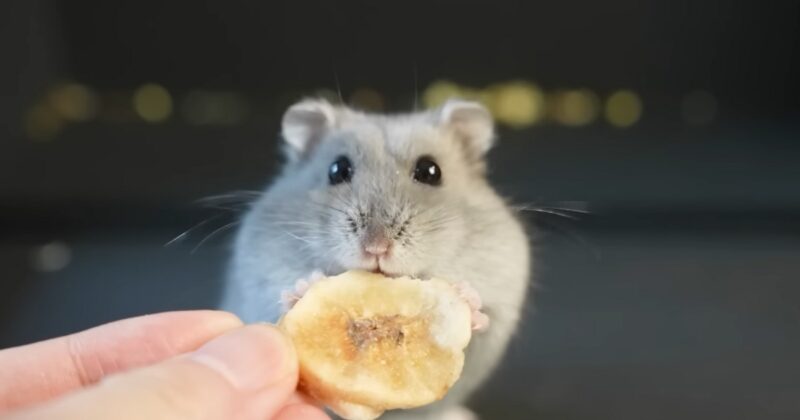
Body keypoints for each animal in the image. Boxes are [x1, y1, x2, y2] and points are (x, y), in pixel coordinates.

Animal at [219, 97, 532, 418]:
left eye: (431, 171)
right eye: (337, 170)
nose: (376, 247)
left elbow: (484, 318)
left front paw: (467, 298)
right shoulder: (261, 281)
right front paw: (305, 287)